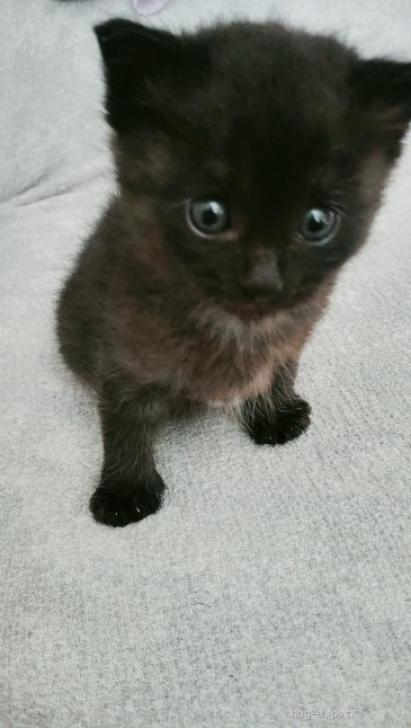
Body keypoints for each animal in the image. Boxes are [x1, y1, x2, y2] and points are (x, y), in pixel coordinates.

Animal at [57, 18, 411, 527]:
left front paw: (274, 414)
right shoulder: (122, 347)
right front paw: (126, 489)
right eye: (209, 215)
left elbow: (279, 367)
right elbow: (124, 419)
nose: (263, 280)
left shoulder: (295, 329)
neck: (234, 325)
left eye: (317, 222)